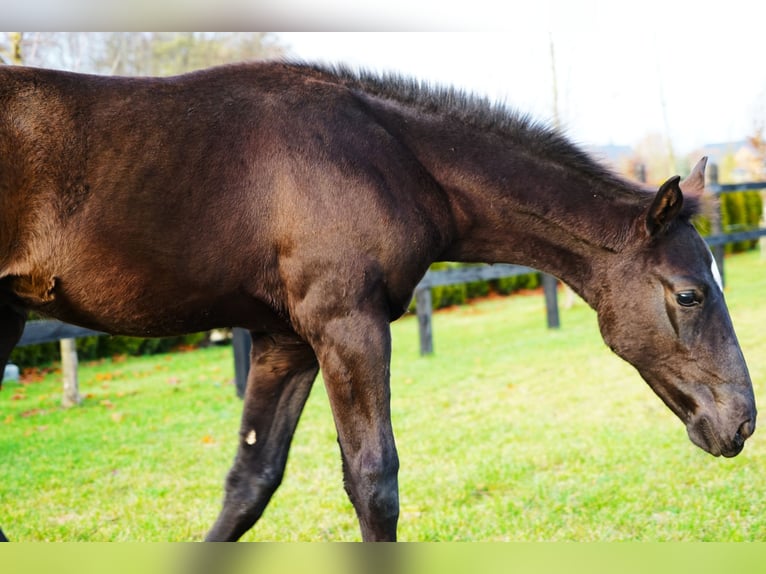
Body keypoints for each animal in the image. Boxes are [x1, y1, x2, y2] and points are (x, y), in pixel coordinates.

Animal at [0, 61, 755, 542]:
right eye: (689, 293)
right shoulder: (348, 326)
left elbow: (250, 481)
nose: (742, 423)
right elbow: (373, 481)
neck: (390, 157)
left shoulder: (287, 342)